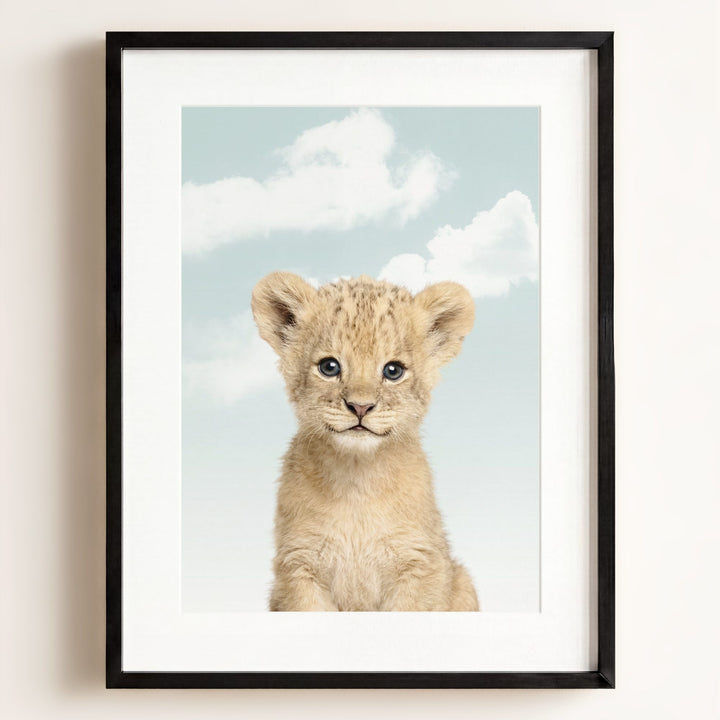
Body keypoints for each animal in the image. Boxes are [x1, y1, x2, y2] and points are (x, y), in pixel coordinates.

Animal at [251, 272, 479, 611]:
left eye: (393, 370)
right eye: (329, 367)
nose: (360, 407)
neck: (357, 481)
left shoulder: (421, 564)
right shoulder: (298, 567)